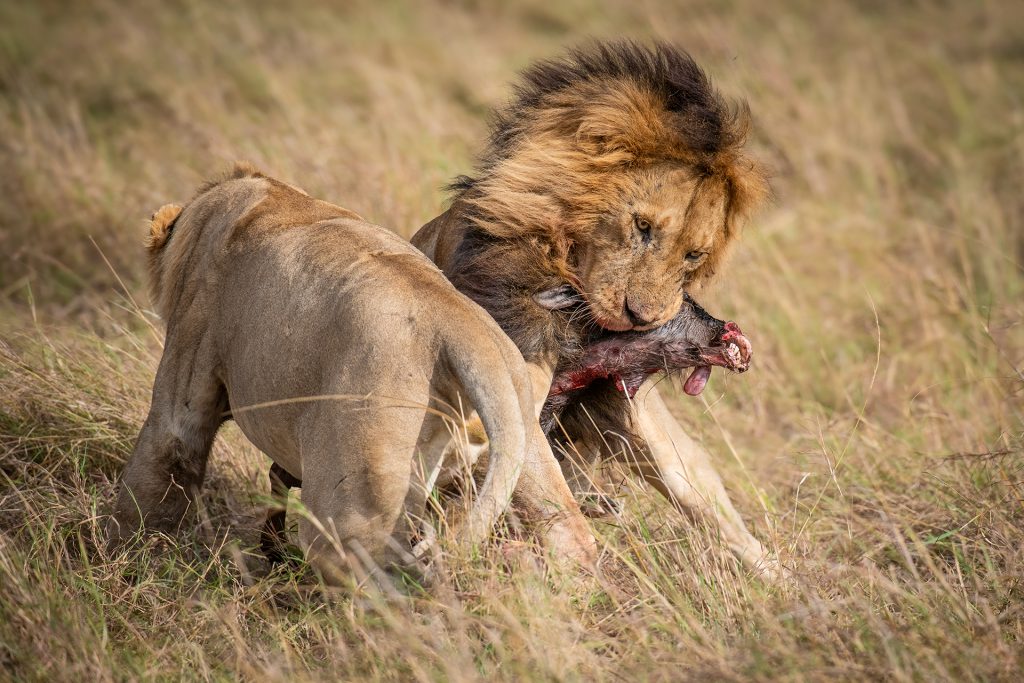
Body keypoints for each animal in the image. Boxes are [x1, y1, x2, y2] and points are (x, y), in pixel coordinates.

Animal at [108, 165, 595, 582]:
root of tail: (460, 324)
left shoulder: (186, 373)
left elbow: (156, 474)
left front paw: (125, 560)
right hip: (517, 440)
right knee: (569, 531)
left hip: (350, 498)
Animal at [412, 42, 783, 577]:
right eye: (642, 226)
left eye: (694, 255)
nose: (644, 318)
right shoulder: (507, 400)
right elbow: (553, 510)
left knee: (717, 509)